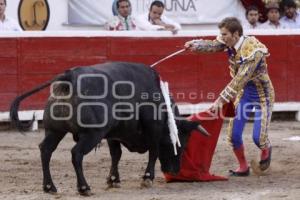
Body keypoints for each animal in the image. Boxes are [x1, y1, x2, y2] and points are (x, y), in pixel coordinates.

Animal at [9, 62, 209, 195]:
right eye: (181, 143)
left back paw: (49, 187)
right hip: (92, 134)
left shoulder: (114, 134)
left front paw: (113, 180)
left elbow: (116, 155)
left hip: (55, 131)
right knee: (76, 153)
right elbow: (153, 151)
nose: (175, 171)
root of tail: (69, 77)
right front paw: (147, 178)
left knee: (46, 150)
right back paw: (84, 188)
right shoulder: (153, 128)